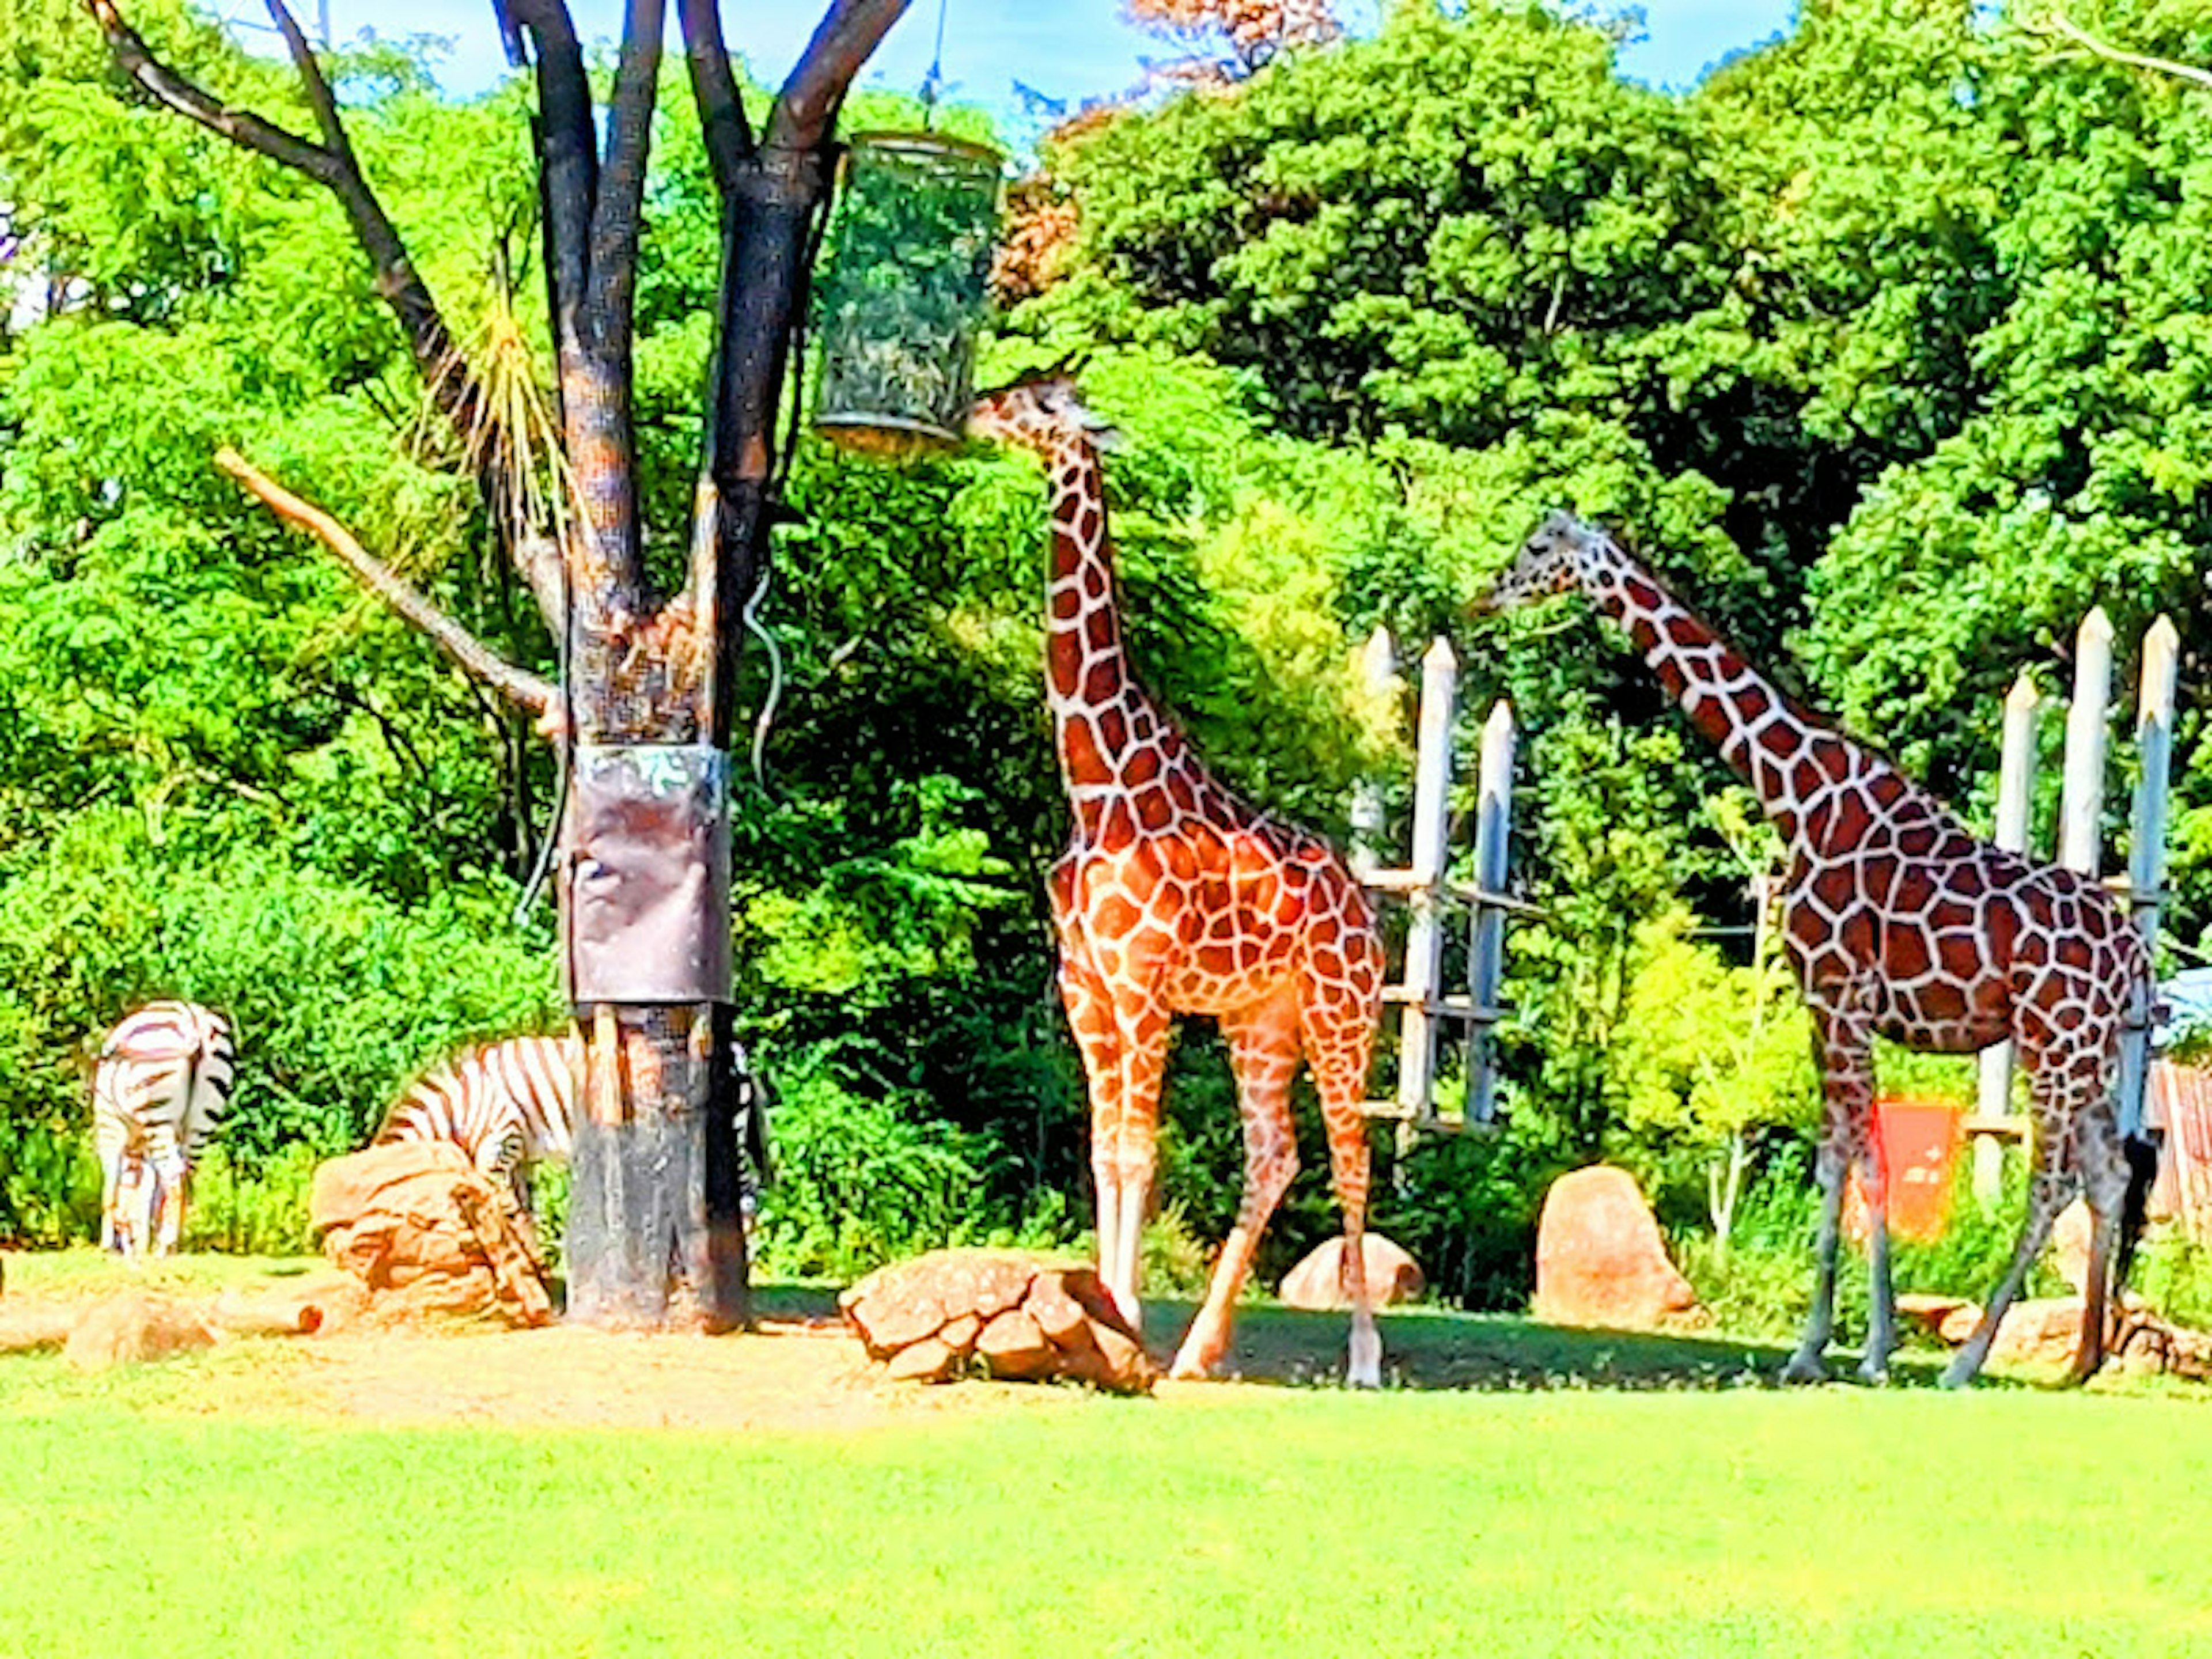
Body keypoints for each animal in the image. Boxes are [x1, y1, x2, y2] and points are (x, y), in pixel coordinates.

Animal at [93, 999, 237, 1256]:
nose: (125, 1245)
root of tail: (193, 1019)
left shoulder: (110, 1128)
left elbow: (112, 1188)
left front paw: (108, 1244)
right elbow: (147, 1191)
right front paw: (141, 1240)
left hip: (157, 1115)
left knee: (173, 1173)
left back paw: (165, 1244)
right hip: (199, 1124)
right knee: (185, 1173)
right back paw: (171, 1244)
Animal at [372, 1035, 770, 1256]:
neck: (463, 1107)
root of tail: (737, 1050)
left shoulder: (502, 1142)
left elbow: (503, 1208)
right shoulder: (519, 1156)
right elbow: (523, 1212)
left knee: (747, 1201)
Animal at [968, 380, 1380, 1389]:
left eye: (1043, 402)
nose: (977, 411)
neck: (1096, 785)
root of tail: (1370, 909)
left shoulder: (1144, 988)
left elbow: (1139, 1150)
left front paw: (1121, 1316)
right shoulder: (1086, 984)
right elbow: (1103, 1148)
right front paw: (1108, 1309)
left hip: (1340, 1013)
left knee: (1351, 1156)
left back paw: (1362, 1356)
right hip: (1259, 1020)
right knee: (1275, 1156)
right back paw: (1200, 1349)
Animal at [1478, 511, 2150, 1389]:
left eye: (1536, 548)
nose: (1485, 595)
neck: (1795, 796)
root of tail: (2135, 949)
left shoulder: (1837, 995)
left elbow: (1863, 1163)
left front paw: (1853, 1350)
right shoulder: (1825, 1004)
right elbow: (1840, 1161)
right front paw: (1830, 1344)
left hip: (2054, 1042)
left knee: (2052, 1181)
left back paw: (1967, 1361)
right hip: (2088, 1050)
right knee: (2108, 1174)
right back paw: (2082, 1364)